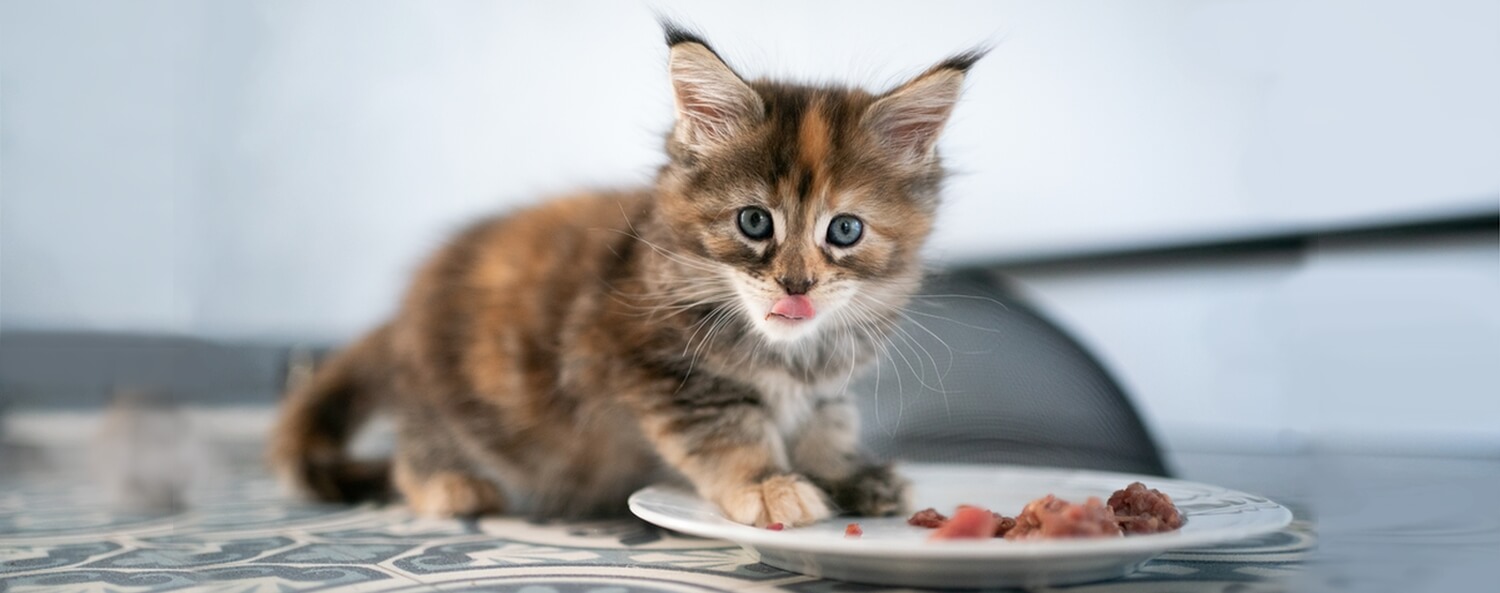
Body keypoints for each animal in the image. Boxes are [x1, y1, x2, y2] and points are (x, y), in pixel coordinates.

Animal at [273, 23, 984, 528]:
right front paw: (768, 484)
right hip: (445, 387)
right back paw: (449, 484)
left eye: (844, 231)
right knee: (420, 442)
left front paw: (848, 475)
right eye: (755, 222)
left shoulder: (825, 390)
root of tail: (404, 311)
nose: (796, 284)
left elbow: (826, 428)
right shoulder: (662, 371)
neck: (788, 356)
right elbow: (731, 434)